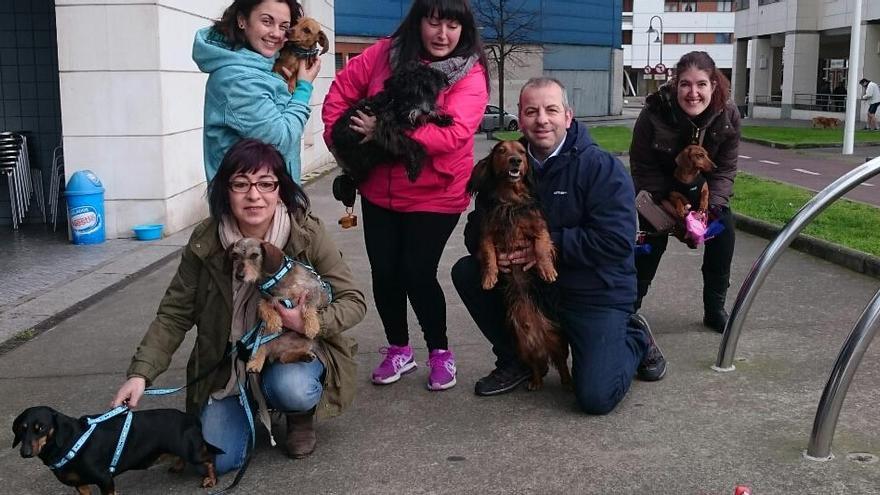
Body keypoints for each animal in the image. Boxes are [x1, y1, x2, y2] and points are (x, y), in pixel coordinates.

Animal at [12, 406, 220, 495]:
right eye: (21, 429)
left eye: (41, 428)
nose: (25, 453)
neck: (70, 442)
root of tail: (190, 417)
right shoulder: (81, 485)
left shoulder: (104, 479)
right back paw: (177, 466)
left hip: (191, 450)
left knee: (209, 459)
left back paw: (211, 480)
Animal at [229, 238, 332, 374]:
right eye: (235, 255)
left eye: (254, 255)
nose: (238, 276)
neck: (276, 279)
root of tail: (276, 350)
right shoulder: (269, 298)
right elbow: (263, 306)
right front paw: (274, 321)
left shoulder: (314, 290)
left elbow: (308, 306)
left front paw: (312, 326)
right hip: (264, 333)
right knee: (264, 347)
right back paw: (255, 362)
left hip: (308, 342)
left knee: (284, 357)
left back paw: (304, 355)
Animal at [468, 141, 572, 394]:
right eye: (502, 151)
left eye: (522, 152)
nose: (515, 160)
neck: (511, 199)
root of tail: (537, 337)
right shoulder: (487, 233)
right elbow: (488, 253)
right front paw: (489, 277)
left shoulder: (539, 226)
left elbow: (542, 246)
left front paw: (547, 271)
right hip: (523, 346)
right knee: (534, 366)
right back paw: (535, 382)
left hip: (557, 339)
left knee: (561, 363)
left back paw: (567, 382)